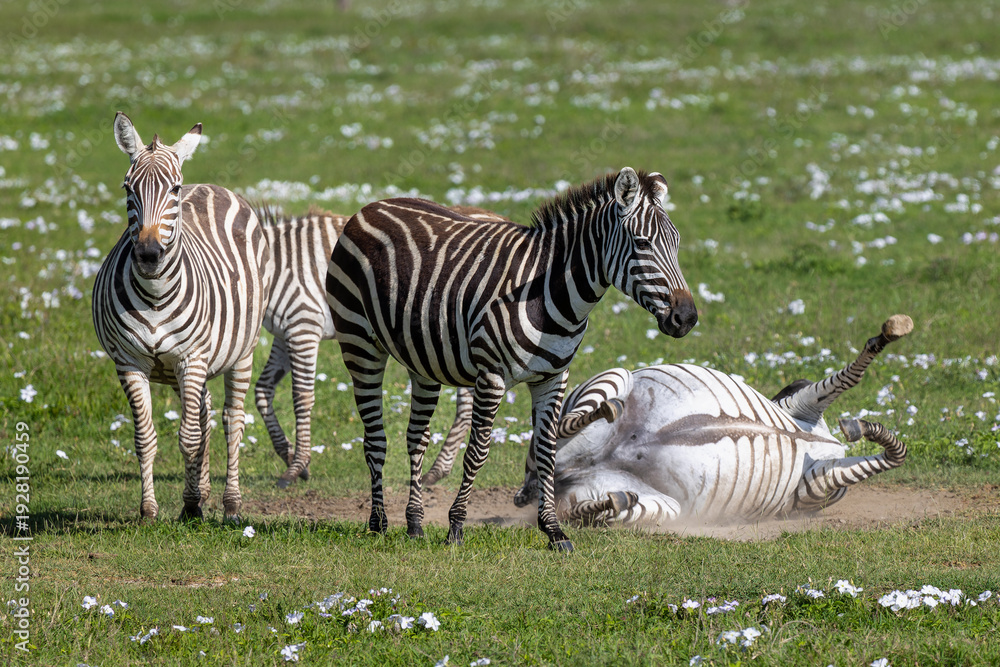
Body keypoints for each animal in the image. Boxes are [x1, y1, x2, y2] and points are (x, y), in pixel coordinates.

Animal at [92, 112, 272, 521]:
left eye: (173, 190)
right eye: (128, 188)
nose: (148, 254)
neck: (155, 295)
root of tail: (208, 186)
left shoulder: (191, 357)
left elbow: (188, 438)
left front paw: (191, 506)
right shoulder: (130, 363)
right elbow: (145, 439)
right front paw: (150, 509)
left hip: (240, 352)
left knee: (231, 420)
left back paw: (230, 504)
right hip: (184, 368)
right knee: (204, 413)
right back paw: (204, 493)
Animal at [255, 205, 502, 487]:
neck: (276, 268)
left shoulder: (302, 327)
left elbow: (301, 396)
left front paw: (297, 466)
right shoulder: (284, 334)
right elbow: (263, 390)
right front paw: (288, 455)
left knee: (467, 404)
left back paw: (440, 469)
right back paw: (441, 470)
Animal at [326, 167, 698, 551]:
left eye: (677, 243)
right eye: (642, 243)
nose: (686, 318)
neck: (553, 296)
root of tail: (372, 206)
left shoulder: (553, 378)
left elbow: (547, 451)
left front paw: (554, 531)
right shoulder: (491, 376)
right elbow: (478, 451)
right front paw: (456, 527)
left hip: (423, 360)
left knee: (417, 437)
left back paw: (414, 523)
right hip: (360, 344)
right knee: (375, 437)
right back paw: (378, 522)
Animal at [518, 315, 912, 528]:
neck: (825, 444)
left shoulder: (811, 477)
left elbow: (894, 451)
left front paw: (867, 429)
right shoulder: (801, 413)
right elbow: (850, 379)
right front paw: (888, 334)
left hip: (663, 506)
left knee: (585, 508)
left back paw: (613, 501)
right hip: (614, 375)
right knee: (555, 430)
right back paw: (606, 410)